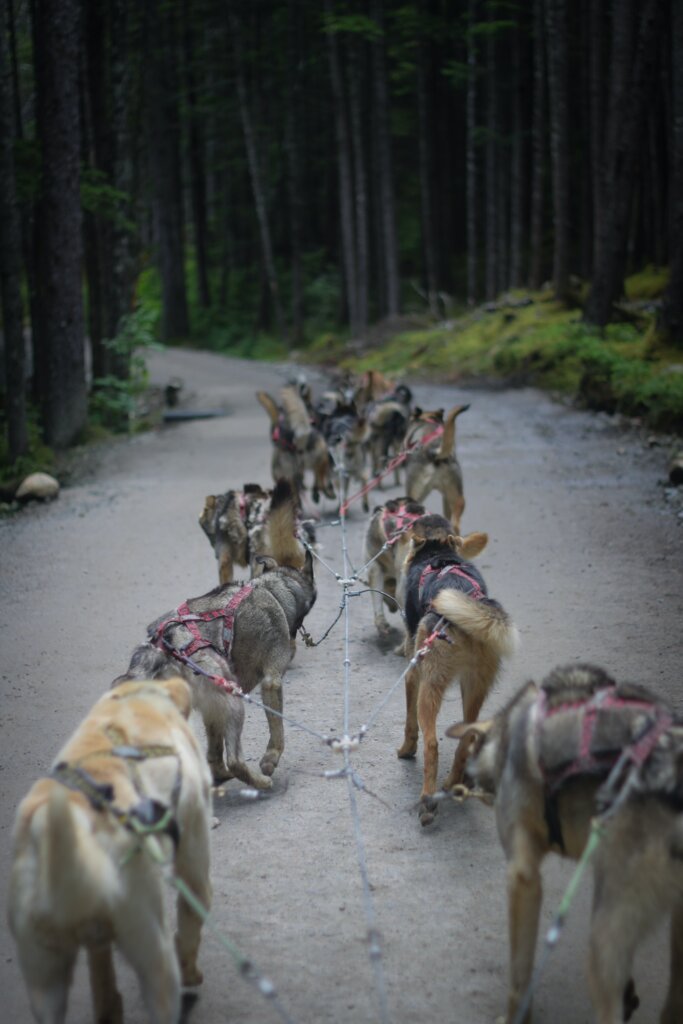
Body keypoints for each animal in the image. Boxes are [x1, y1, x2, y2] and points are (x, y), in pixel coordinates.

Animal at [7, 679, 210, 1024]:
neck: (132, 698)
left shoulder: (95, 934)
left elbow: (100, 971)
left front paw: (109, 1006)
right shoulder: (193, 848)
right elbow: (192, 918)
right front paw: (191, 971)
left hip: (44, 976)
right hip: (151, 949)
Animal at [395, 512, 518, 823]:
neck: (439, 553)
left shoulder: (413, 674)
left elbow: (410, 724)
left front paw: (406, 750)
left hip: (430, 688)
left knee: (432, 744)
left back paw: (428, 801)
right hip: (475, 687)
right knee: (467, 736)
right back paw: (454, 781)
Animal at [446, 663, 683, 1024]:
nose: (466, 784)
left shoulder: (523, 877)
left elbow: (520, 977)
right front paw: (630, 992)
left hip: (603, 938)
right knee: (674, 1001)